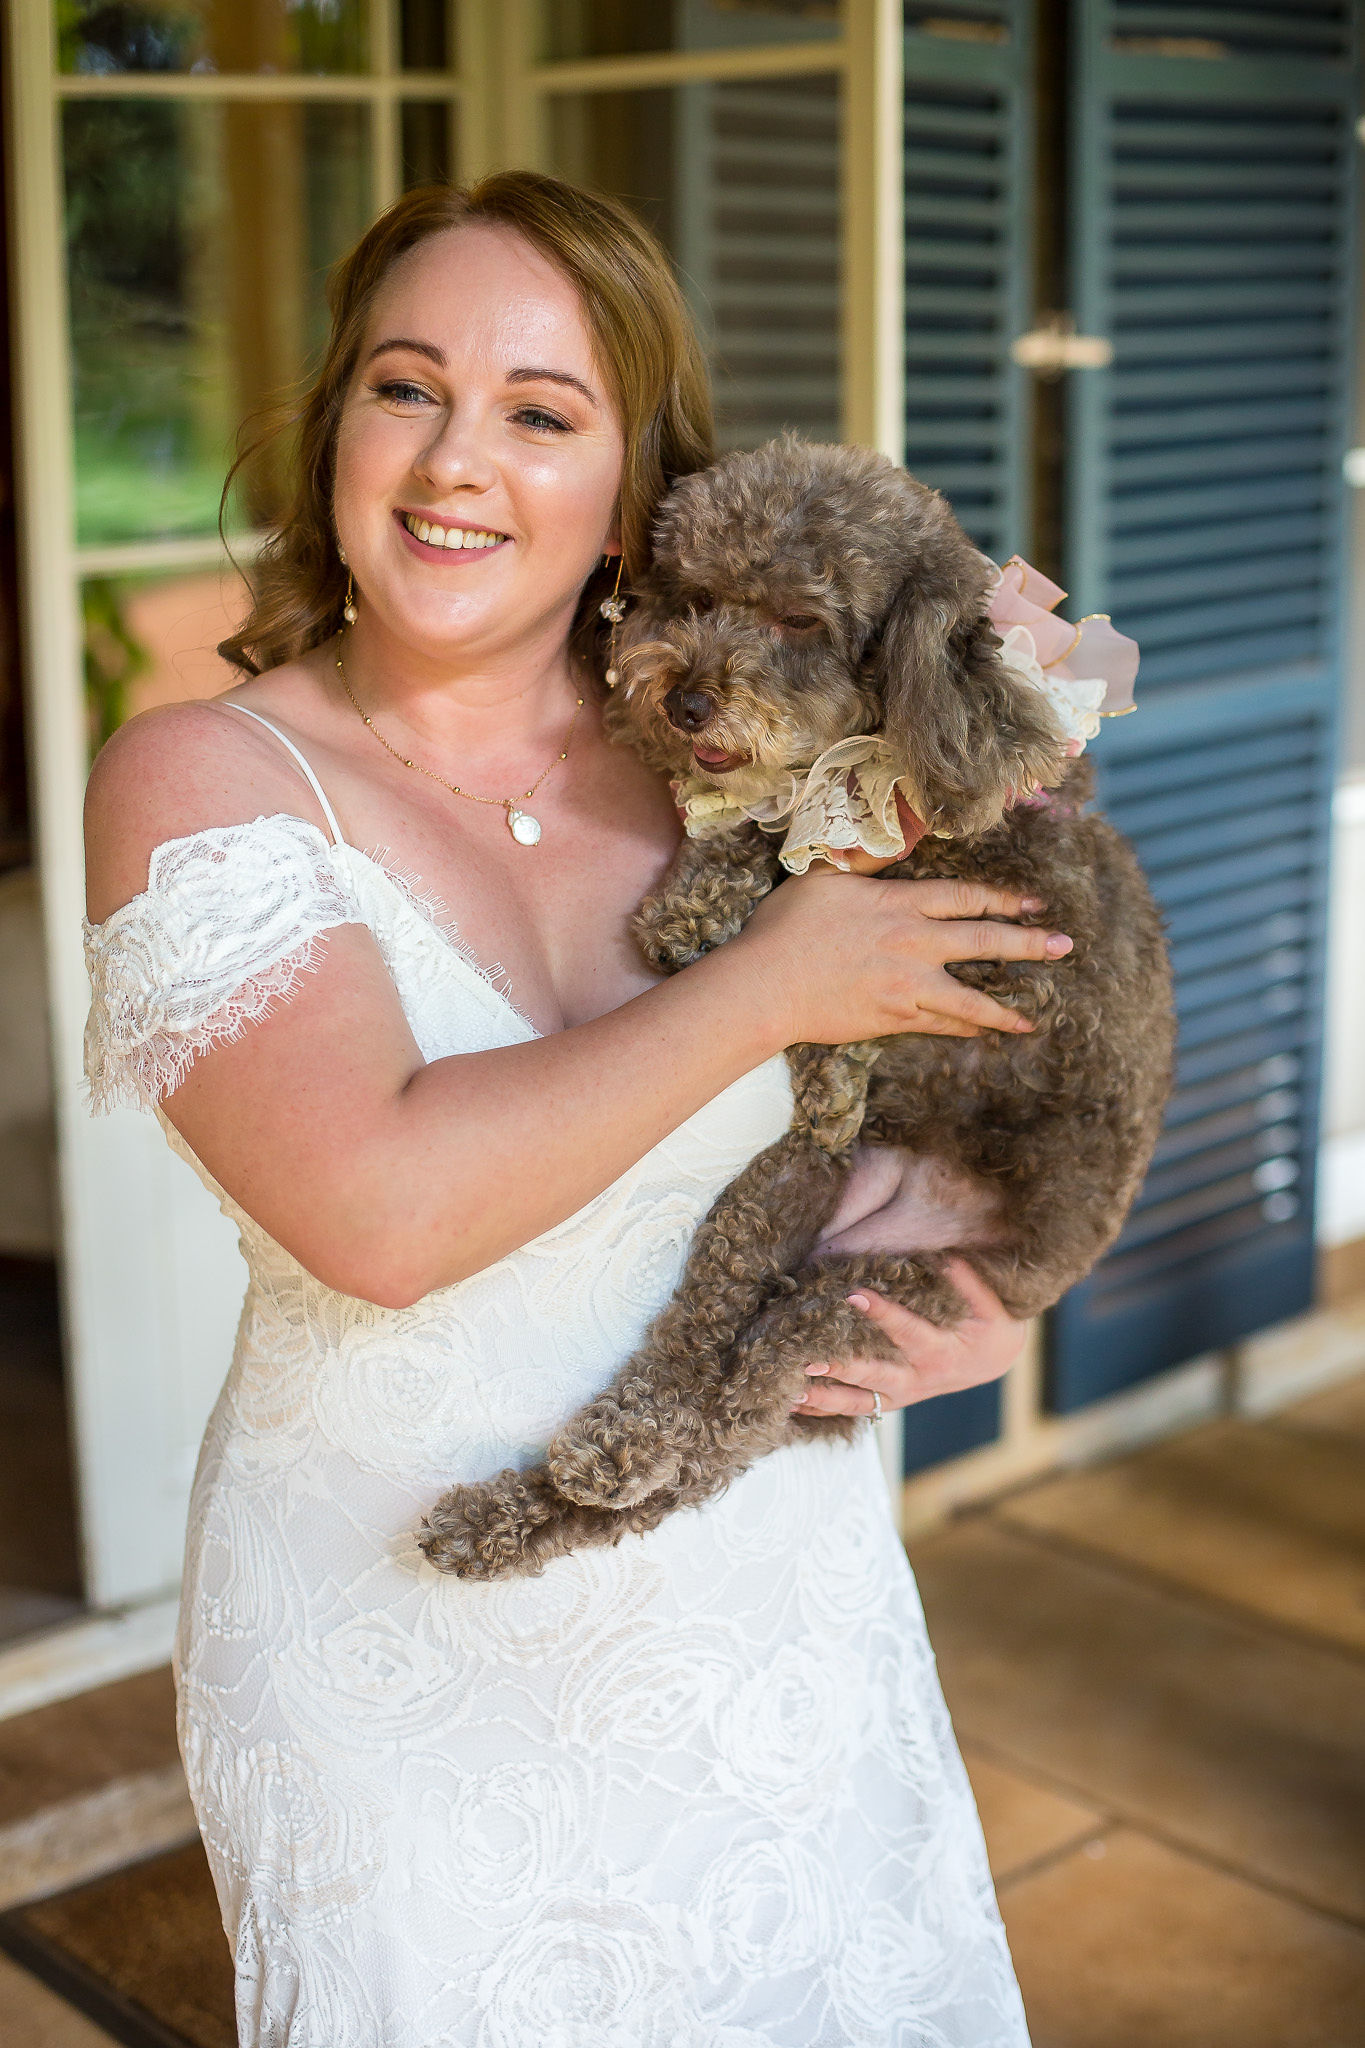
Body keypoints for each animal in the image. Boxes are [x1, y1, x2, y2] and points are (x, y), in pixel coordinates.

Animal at [419, 436, 1178, 1581]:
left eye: (800, 621)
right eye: (694, 598)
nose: (683, 700)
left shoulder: (1000, 926)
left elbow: (835, 869)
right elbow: (767, 833)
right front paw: (693, 904)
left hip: (873, 1294)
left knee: (730, 1406)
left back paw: (596, 1464)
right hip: (779, 1199)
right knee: (701, 1364)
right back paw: (540, 1491)